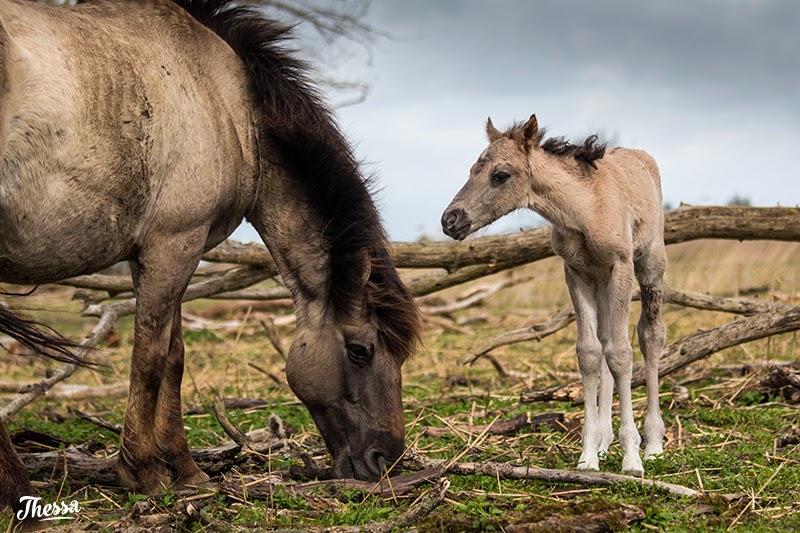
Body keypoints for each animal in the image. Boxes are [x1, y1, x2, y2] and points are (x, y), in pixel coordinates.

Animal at [0, 0, 422, 516]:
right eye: (361, 350)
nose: (386, 459)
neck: (227, 99)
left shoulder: (163, 253)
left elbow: (175, 357)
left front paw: (185, 470)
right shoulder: (173, 243)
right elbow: (150, 358)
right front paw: (141, 472)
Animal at [444, 115, 668, 474]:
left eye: (500, 175)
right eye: (471, 170)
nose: (450, 220)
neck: (584, 210)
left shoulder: (620, 267)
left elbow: (622, 354)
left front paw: (632, 457)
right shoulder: (575, 272)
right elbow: (590, 353)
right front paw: (588, 455)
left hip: (650, 264)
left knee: (650, 336)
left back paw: (654, 444)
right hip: (599, 282)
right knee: (605, 339)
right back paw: (605, 442)